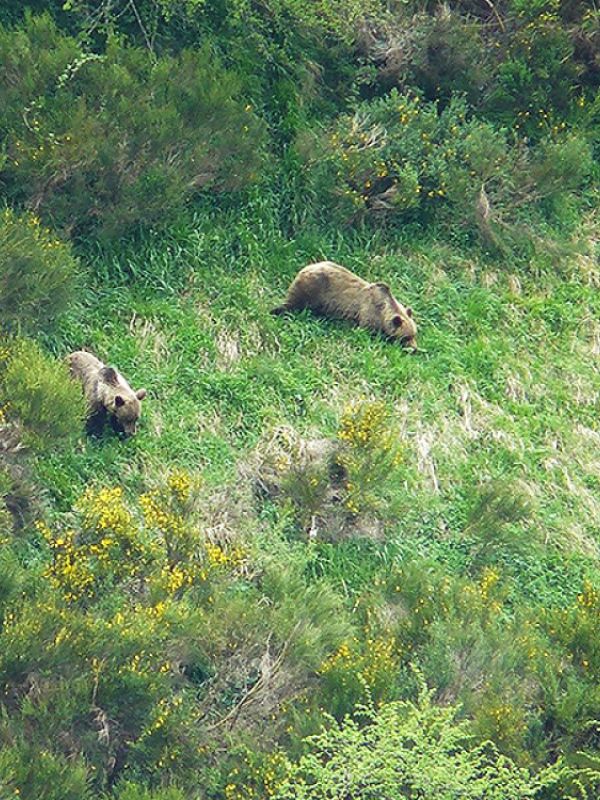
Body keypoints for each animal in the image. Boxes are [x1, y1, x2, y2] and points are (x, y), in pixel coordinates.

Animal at [271, 261, 418, 350]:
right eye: (406, 337)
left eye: (414, 334)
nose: (414, 349)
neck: (383, 311)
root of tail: (306, 267)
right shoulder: (368, 313)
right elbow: (367, 331)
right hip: (311, 289)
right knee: (293, 303)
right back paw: (277, 311)